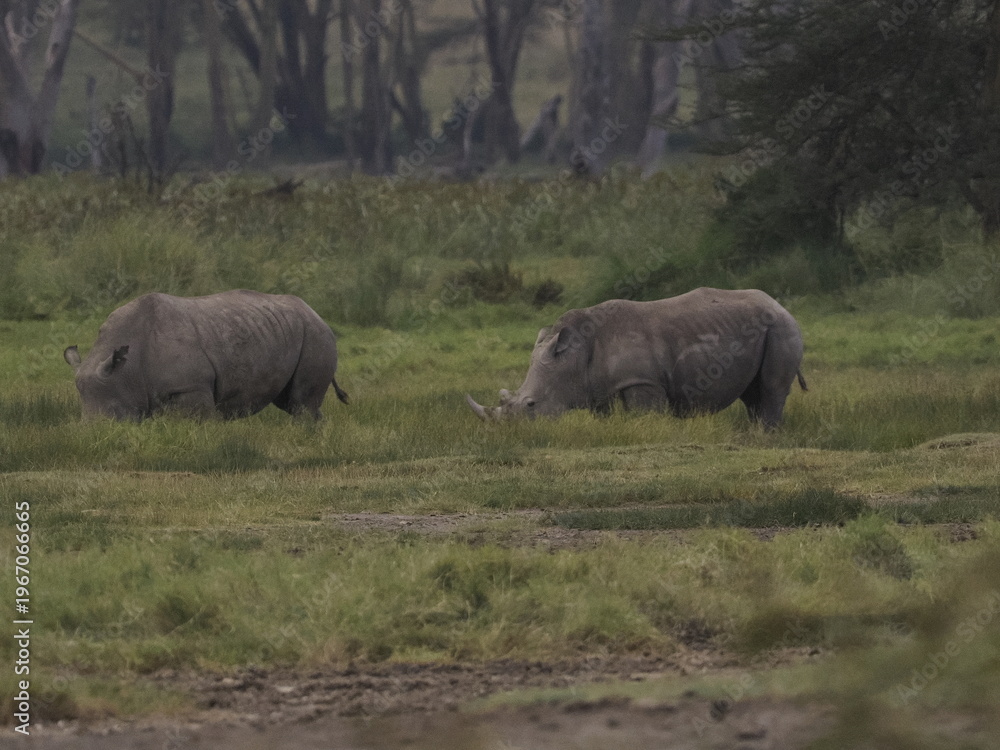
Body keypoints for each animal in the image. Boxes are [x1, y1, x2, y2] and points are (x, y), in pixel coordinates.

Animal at [64, 290, 348, 420]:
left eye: (115, 415)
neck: (129, 370)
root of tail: (316, 313)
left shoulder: (190, 387)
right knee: (289, 401)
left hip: (315, 335)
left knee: (300, 403)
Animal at [466, 288, 806, 429]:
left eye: (531, 405)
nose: (507, 431)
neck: (575, 354)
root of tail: (780, 304)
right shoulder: (598, 387)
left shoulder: (642, 381)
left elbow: (647, 415)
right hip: (765, 329)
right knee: (752, 393)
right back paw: (755, 432)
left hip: (782, 327)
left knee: (772, 389)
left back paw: (766, 435)